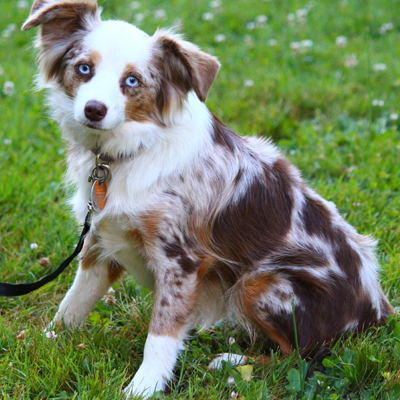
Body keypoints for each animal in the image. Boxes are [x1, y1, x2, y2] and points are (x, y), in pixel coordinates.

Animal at [21, 1, 394, 398]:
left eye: (132, 81)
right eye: (84, 68)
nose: (94, 109)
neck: (127, 153)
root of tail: (379, 311)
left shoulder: (180, 260)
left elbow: (160, 335)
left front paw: (144, 386)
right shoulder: (100, 241)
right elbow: (74, 301)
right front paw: (48, 341)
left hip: (261, 283)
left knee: (300, 355)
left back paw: (231, 361)